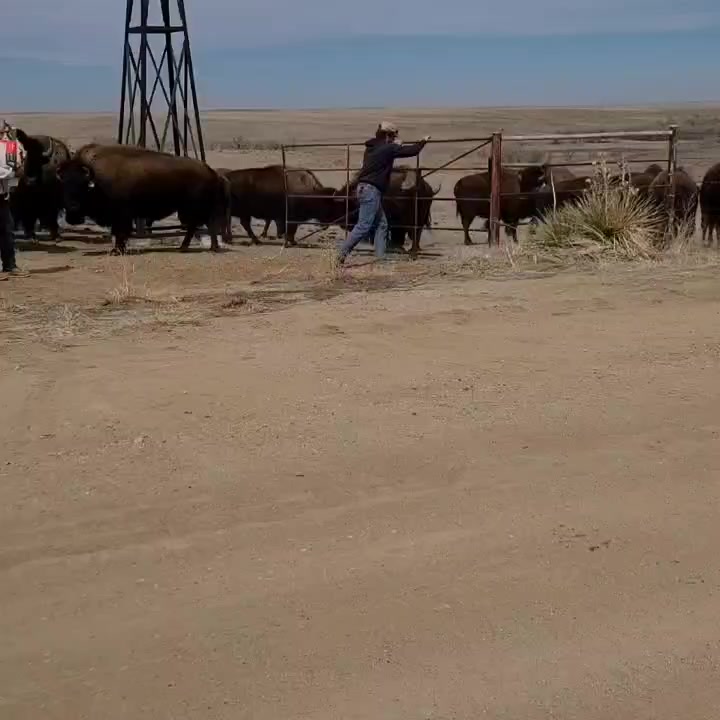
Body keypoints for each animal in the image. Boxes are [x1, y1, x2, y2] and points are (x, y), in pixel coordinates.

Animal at [57, 144, 230, 254]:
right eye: (63, 185)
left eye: (83, 186)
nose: (72, 208)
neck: (97, 181)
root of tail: (211, 171)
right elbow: (118, 232)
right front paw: (119, 249)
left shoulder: (121, 215)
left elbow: (120, 231)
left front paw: (117, 250)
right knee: (198, 226)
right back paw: (188, 247)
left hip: (195, 209)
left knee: (205, 225)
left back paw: (208, 248)